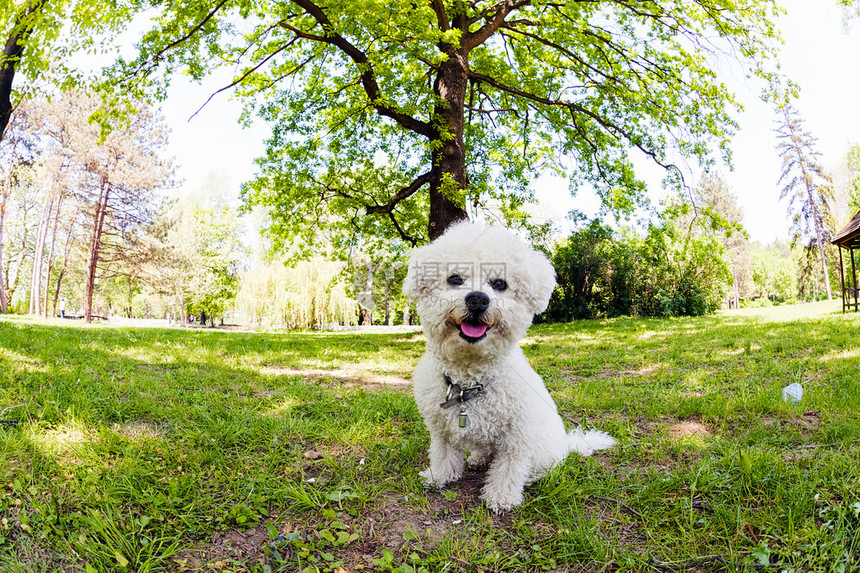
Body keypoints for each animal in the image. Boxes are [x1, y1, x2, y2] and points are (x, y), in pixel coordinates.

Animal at [404, 221, 620, 512]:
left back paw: (530, 476)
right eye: (455, 279)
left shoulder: (517, 436)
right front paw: (440, 476)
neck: (470, 380)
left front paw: (501, 497)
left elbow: (508, 468)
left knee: (542, 467)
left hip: (543, 450)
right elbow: (442, 453)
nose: (477, 299)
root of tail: (567, 443)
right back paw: (478, 459)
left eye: (499, 284)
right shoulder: (440, 430)